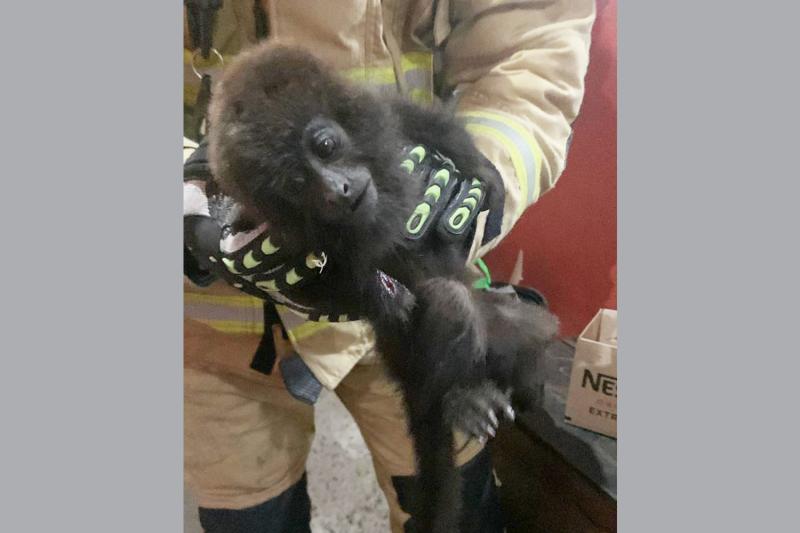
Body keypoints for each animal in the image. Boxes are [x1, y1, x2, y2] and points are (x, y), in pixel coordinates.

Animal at [206, 42, 556, 532]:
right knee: (448, 305)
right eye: (296, 182)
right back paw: (461, 396)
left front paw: (486, 177)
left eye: (325, 145)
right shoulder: (274, 230)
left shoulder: (385, 114)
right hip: (407, 356)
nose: (337, 188)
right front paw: (380, 293)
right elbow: (313, 282)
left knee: (528, 330)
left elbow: (429, 125)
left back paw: (521, 382)